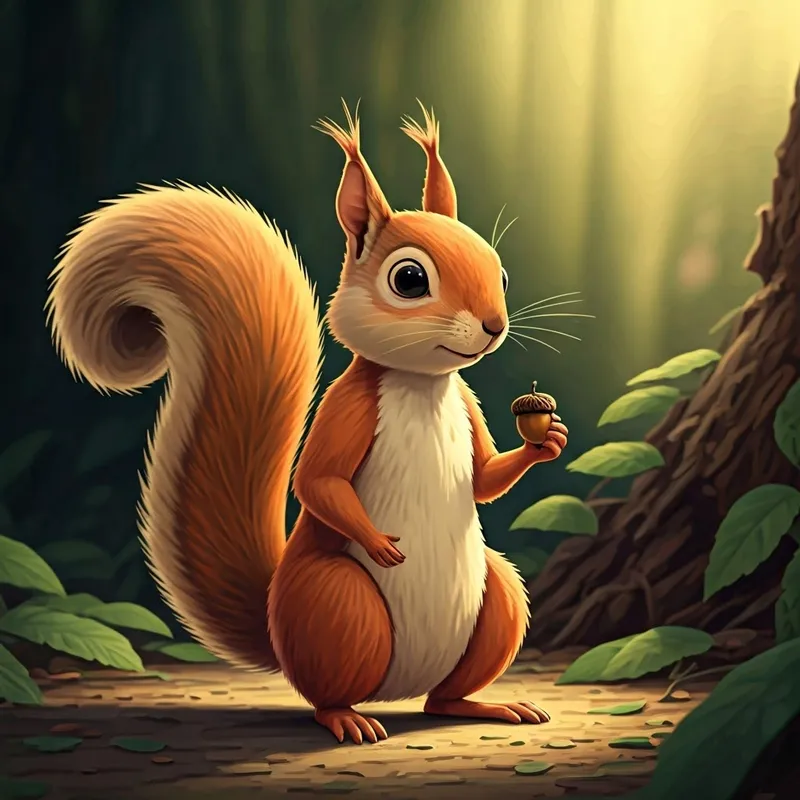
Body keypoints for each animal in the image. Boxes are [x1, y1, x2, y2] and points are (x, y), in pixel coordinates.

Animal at [45, 102, 569, 744]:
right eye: (410, 279)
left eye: (502, 274)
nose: (495, 325)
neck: (422, 382)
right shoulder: (346, 408)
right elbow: (315, 481)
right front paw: (381, 543)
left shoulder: (466, 404)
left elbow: (485, 479)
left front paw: (547, 442)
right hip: (338, 603)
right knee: (327, 692)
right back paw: (348, 718)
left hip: (498, 599)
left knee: (442, 699)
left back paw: (485, 705)